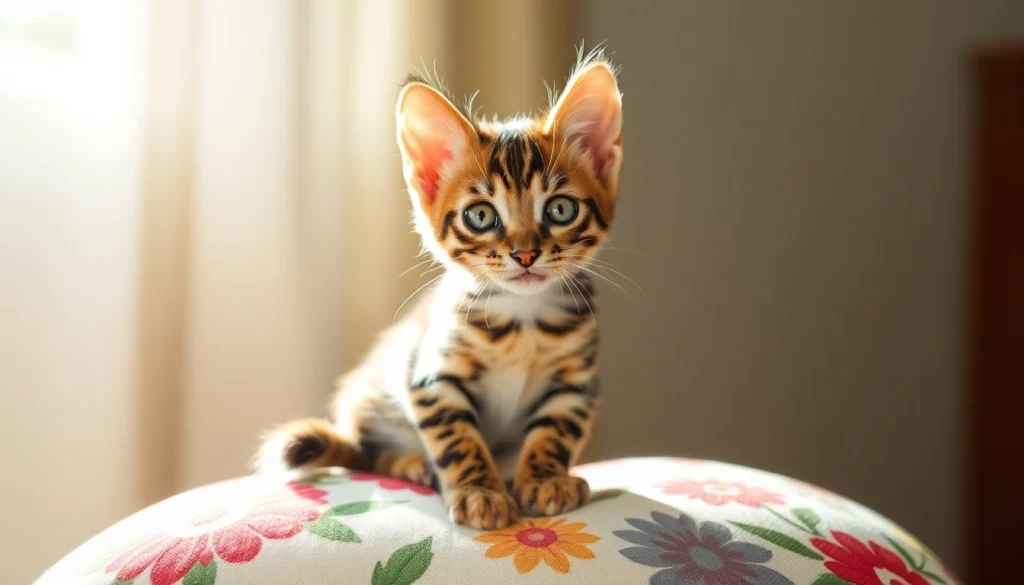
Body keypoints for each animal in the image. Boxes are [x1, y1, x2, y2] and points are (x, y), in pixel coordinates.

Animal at [256, 51, 622, 532]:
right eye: (481, 216)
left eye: (560, 209)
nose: (525, 254)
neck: (521, 322)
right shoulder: (430, 376)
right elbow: (458, 440)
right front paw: (479, 492)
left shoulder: (575, 383)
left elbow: (555, 432)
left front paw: (545, 479)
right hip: (370, 399)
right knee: (368, 454)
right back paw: (413, 465)